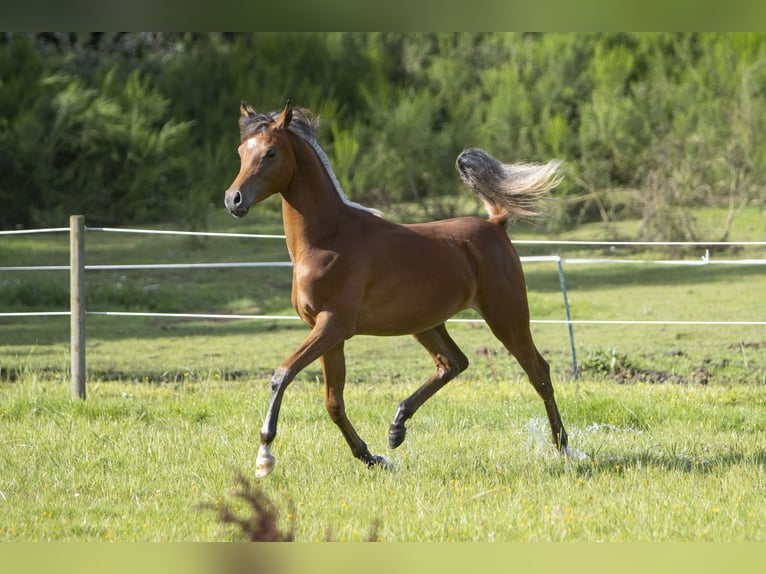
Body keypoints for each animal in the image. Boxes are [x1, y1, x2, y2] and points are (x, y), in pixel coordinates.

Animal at [225, 101, 568, 480]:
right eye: (241, 151)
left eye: (271, 152)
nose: (233, 200)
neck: (327, 240)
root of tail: (496, 224)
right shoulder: (328, 332)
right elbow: (334, 402)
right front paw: (371, 457)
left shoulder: (333, 325)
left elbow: (282, 374)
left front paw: (264, 456)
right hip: (427, 323)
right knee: (453, 363)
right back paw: (396, 428)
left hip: (507, 316)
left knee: (538, 372)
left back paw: (563, 447)